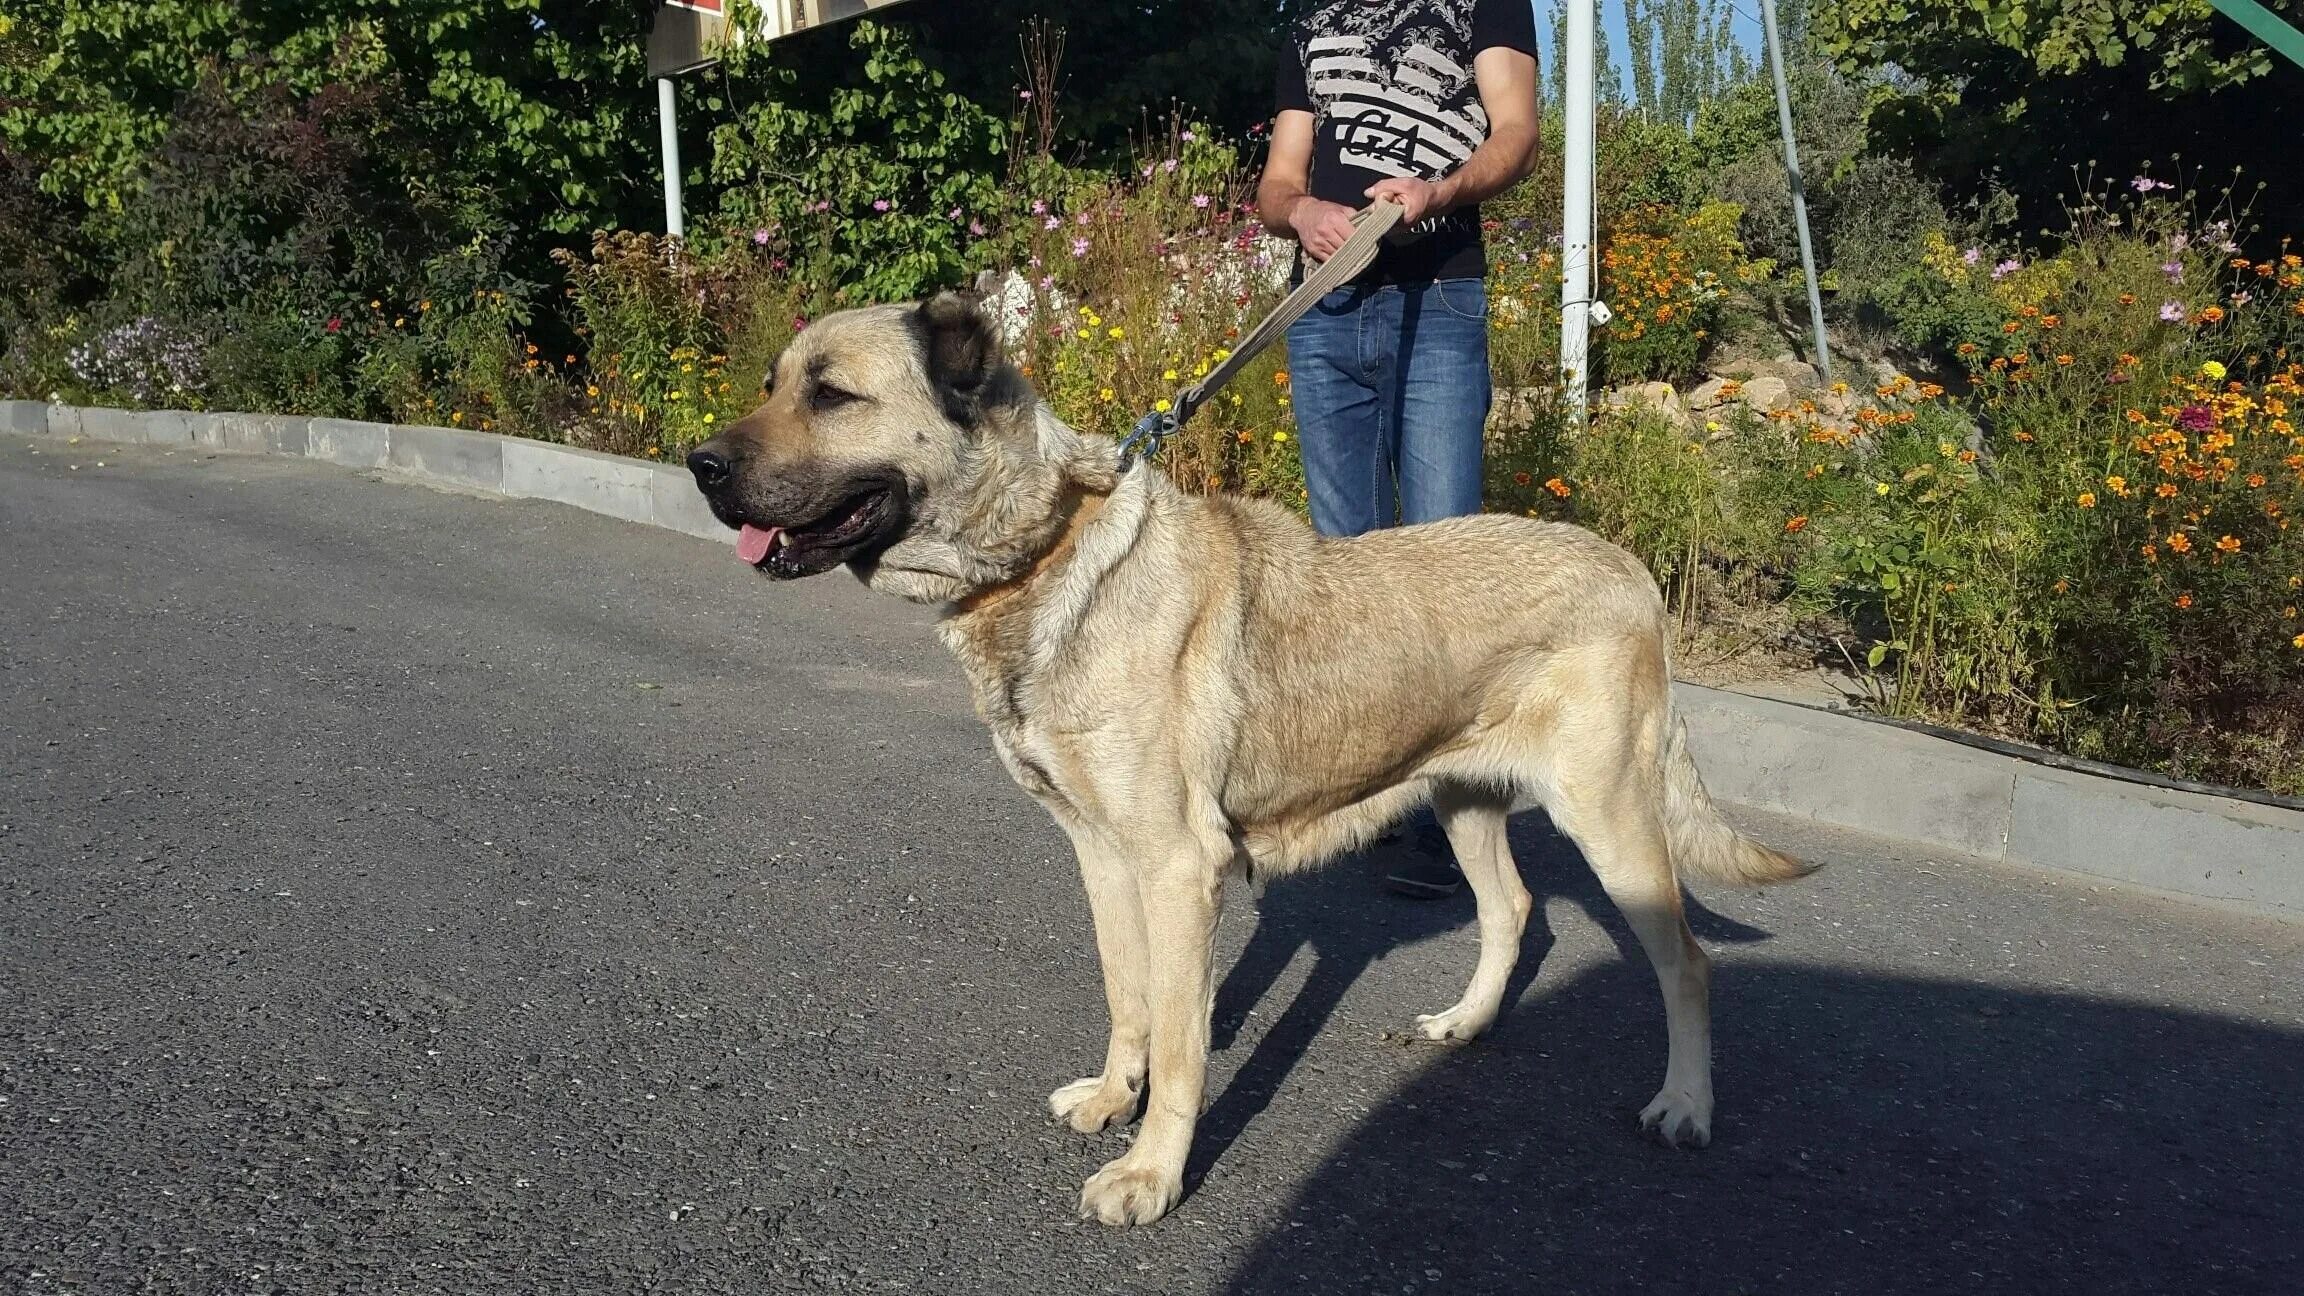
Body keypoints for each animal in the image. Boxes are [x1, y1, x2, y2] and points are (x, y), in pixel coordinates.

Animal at [681, 290, 1815, 1217]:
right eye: (773, 384)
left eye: (832, 394)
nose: (701, 466)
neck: (1046, 553)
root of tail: (1629, 566)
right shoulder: (1102, 856)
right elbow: (1128, 996)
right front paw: (1113, 1097)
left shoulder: (1181, 870)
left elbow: (1185, 1045)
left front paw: (1152, 1174)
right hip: (1463, 800)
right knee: (1511, 909)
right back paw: (1468, 1021)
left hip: (1611, 823)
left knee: (1688, 966)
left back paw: (1684, 1104)